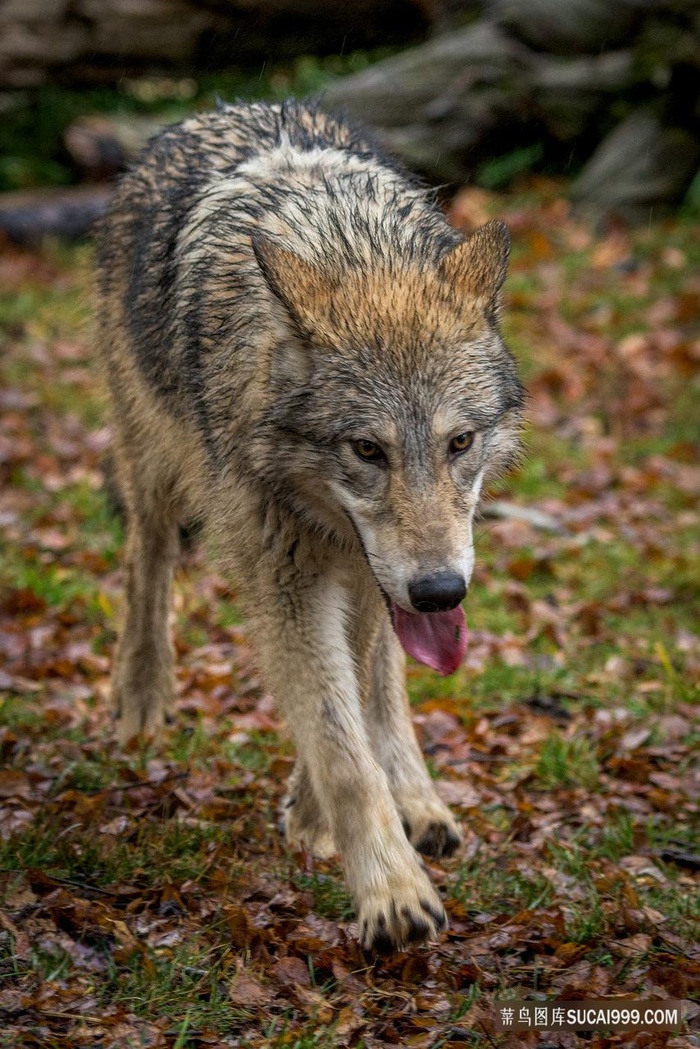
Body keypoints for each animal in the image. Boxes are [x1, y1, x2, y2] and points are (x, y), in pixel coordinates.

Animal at [97, 98, 524, 952]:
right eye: (367, 449)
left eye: (460, 442)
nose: (441, 590)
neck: (350, 244)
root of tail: (223, 108)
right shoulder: (286, 576)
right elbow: (341, 745)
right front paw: (392, 893)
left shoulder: (364, 576)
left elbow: (353, 699)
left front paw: (319, 813)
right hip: (154, 463)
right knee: (146, 559)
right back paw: (143, 693)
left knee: (386, 674)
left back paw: (420, 800)